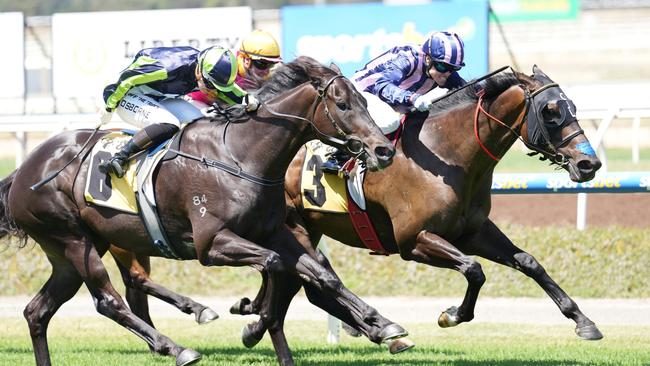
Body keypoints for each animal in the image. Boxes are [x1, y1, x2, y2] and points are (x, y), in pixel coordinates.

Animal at [0, 57, 410, 366]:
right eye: (343, 104)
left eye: (364, 102)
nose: (383, 150)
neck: (242, 156)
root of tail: (25, 169)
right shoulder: (211, 244)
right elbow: (275, 264)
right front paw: (257, 320)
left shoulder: (274, 232)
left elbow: (322, 276)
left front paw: (381, 323)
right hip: (73, 240)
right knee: (108, 300)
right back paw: (177, 347)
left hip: (76, 249)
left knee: (38, 311)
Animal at [227, 65, 604, 344]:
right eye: (551, 111)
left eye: (572, 105)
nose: (590, 164)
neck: (446, 156)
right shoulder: (413, 240)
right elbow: (474, 269)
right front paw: (451, 315)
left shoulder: (472, 232)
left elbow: (529, 263)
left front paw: (583, 321)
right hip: (295, 227)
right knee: (306, 281)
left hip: (303, 229)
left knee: (301, 283)